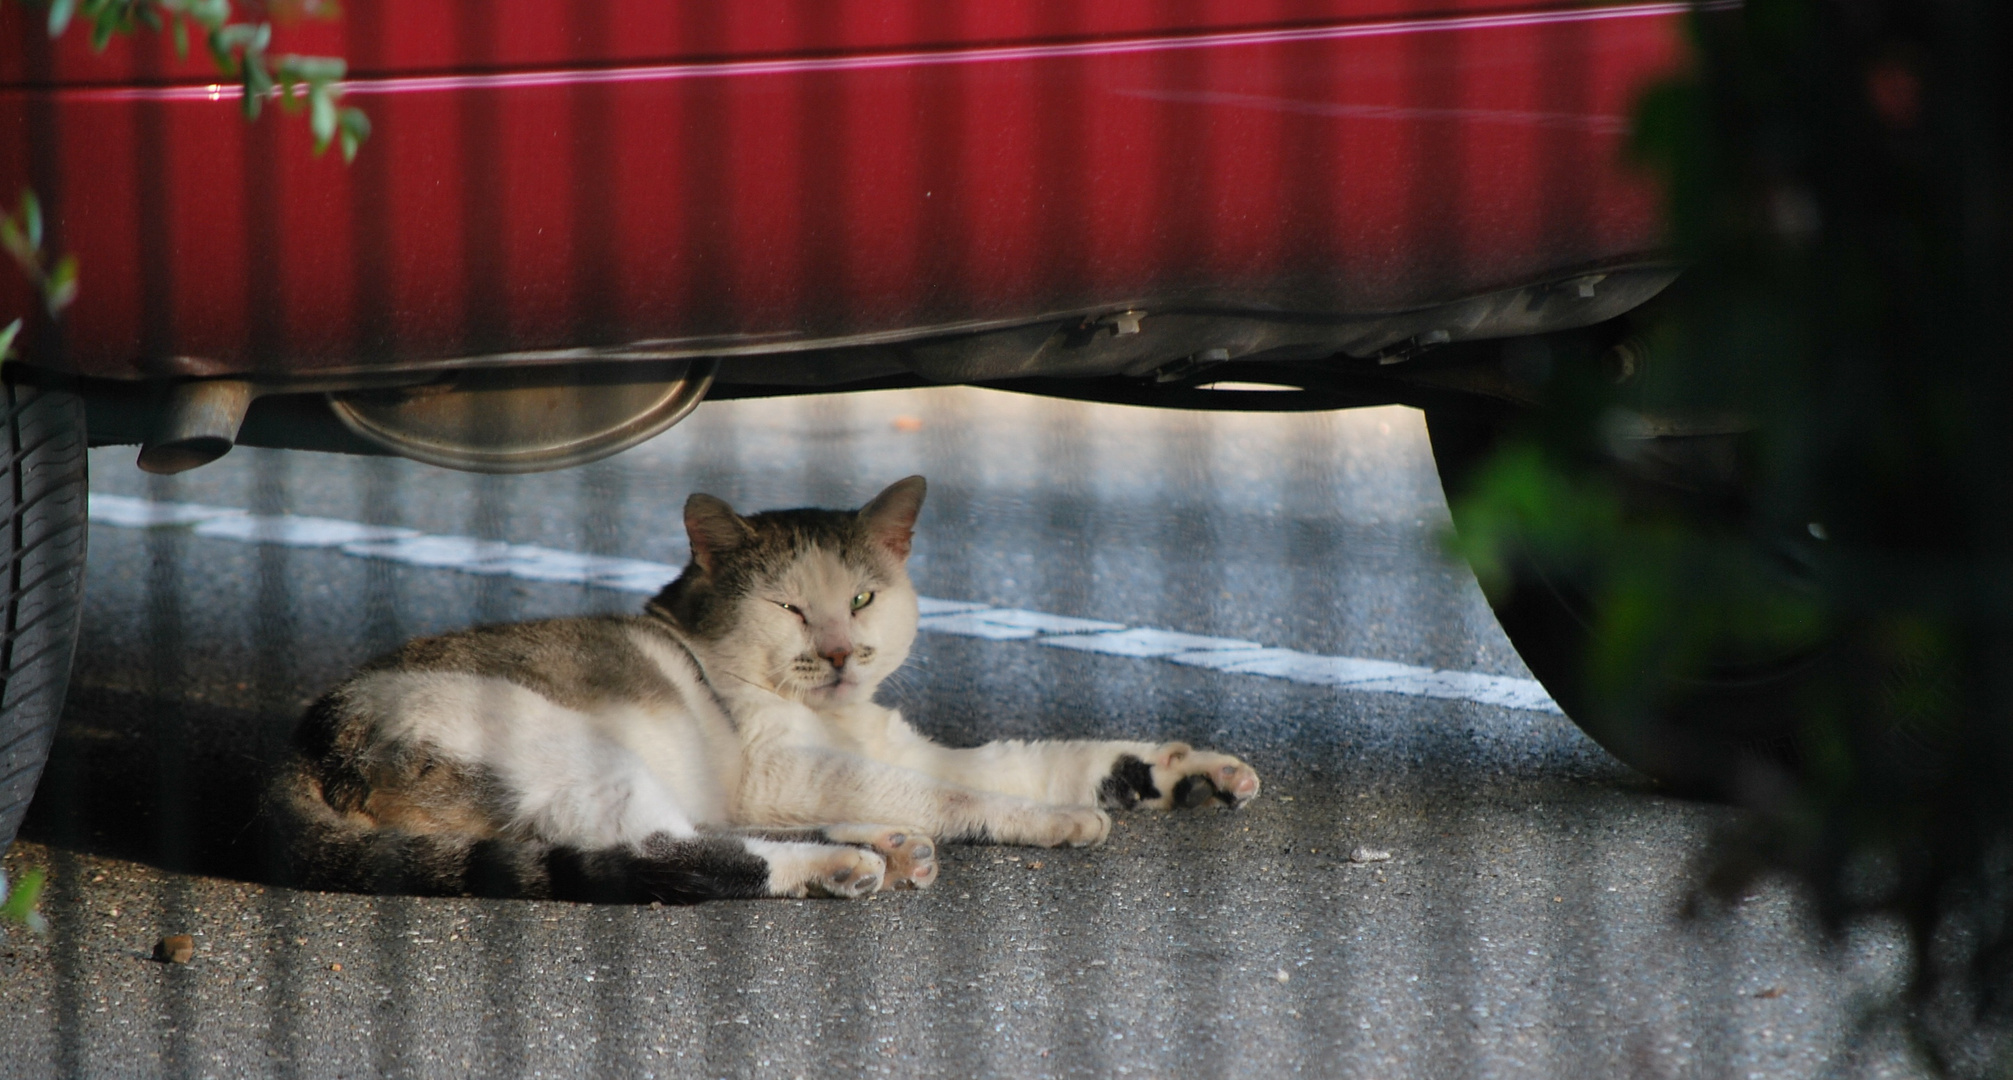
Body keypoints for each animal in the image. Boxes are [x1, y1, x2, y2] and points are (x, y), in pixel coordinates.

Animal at [257, 476, 1248, 905]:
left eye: (861, 599)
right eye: (789, 607)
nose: (843, 652)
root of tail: (309, 738)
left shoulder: (885, 750)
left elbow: (1029, 759)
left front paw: (1182, 772)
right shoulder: (778, 768)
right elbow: (956, 791)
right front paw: (1050, 821)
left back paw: (884, 846)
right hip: (587, 763)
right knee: (671, 852)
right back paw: (850, 863)